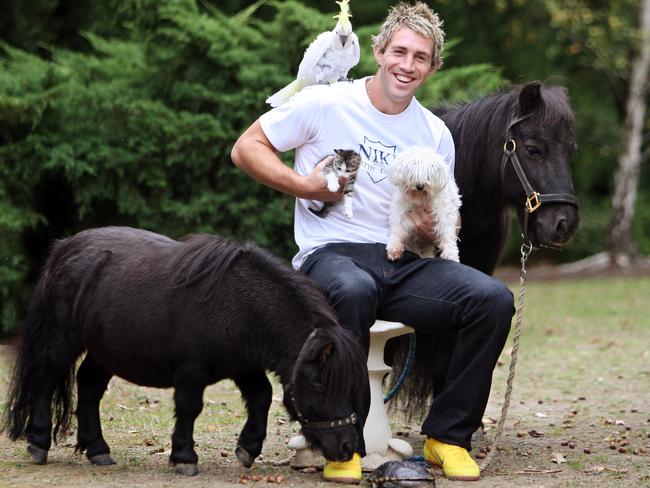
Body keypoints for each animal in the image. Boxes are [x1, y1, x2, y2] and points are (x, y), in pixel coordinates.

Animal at [2, 228, 370, 476]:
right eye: (321, 385)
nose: (347, 447)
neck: (238, 304)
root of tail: (65, 248)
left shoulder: (243, 366)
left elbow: (261, 397)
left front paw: (247, 448)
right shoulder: (192, 371)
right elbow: (190, 408)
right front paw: (184, 457)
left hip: (104, 350)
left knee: (90, 386)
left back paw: (97, 450)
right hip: (63, 339)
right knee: (46, 379)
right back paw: (38, 442)